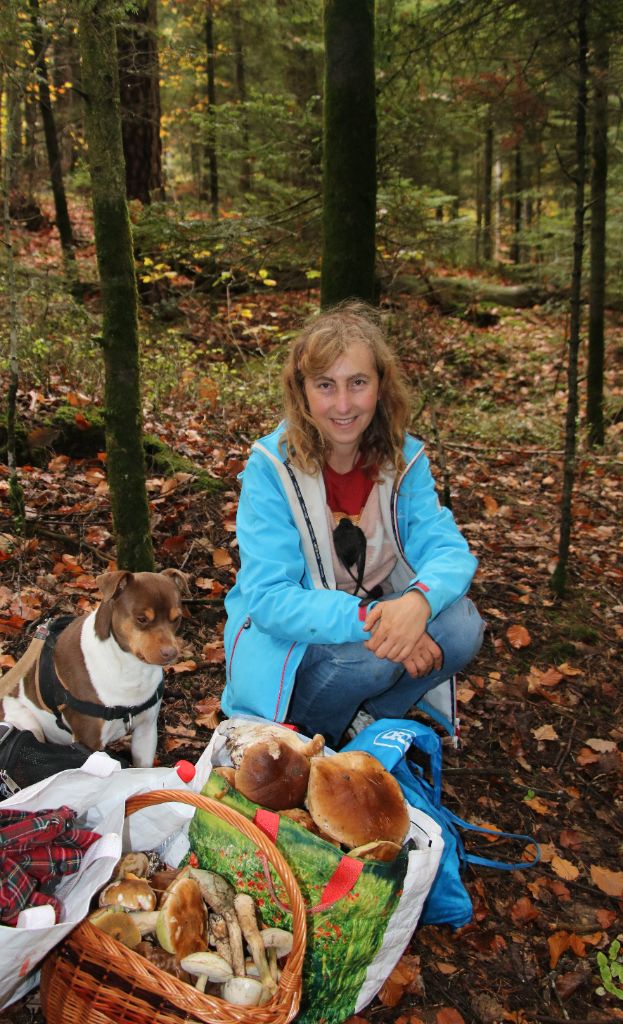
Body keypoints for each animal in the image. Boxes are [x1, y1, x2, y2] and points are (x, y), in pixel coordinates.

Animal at [1, 573, 188, 765]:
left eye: (177, 618)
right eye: (141, 619)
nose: (171, 652)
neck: (130, 667)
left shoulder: (147, 730)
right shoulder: (89, 741)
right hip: (28, 723)